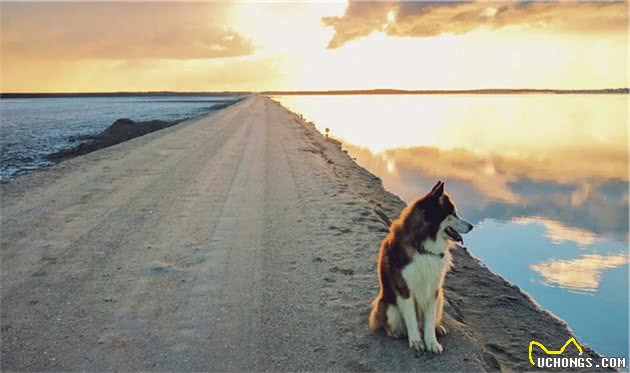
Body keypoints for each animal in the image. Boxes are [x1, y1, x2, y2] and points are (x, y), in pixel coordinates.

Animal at [370, 182, 474, 354]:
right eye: (452, 213)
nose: (472, 226)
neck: (422, 246)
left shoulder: (433, 290)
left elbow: (429, 320)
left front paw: (431, 342)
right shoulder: (405, 290)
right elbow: (411, 318)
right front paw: (416, 341)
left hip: (441, 297)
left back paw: (438, 327)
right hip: (390, 305)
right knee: (385, 322)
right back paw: (394, 331)